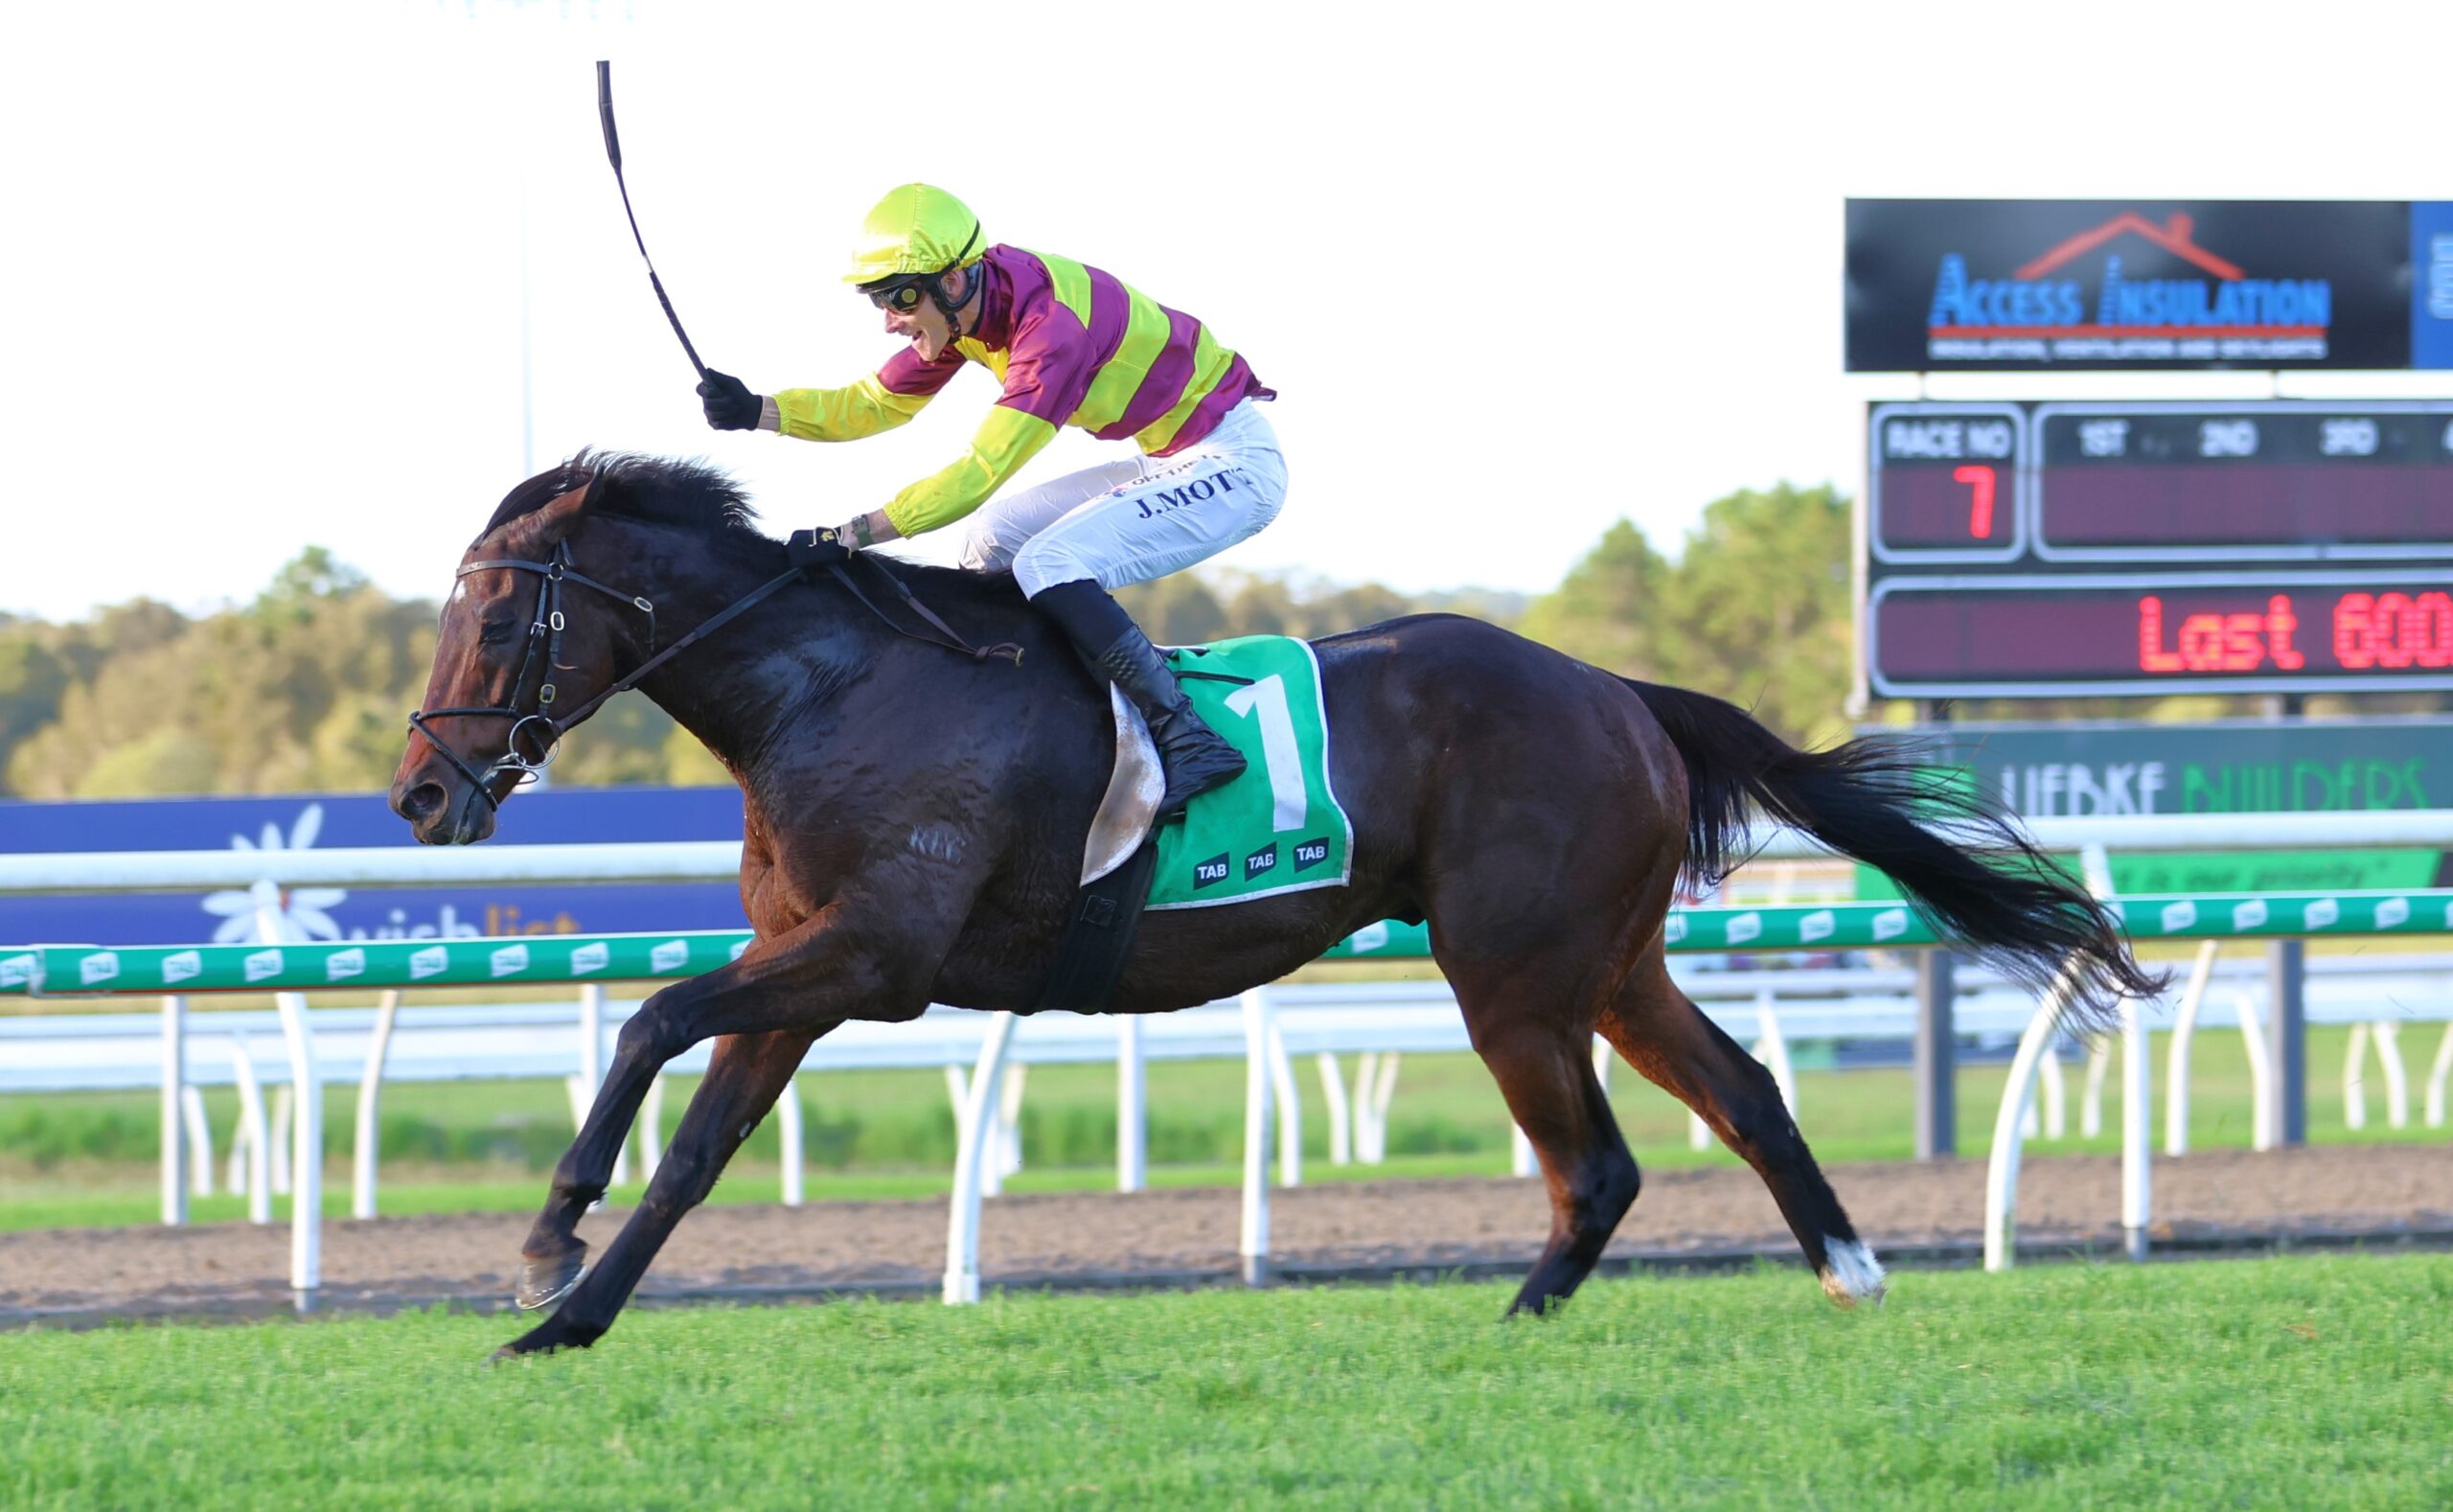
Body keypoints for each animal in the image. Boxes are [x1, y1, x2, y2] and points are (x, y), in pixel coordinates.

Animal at [389, 450, 2159, 1359]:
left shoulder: (874, 954)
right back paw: (1848, 1268)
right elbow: (697, 1139)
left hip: (1508, 968)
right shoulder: (809, 961)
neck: (831, 686)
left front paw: (544, 1233)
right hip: (1609, 957)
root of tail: (1619, 691)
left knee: (1597, 1162)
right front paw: (567, 1313)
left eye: (496, 615)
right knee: (1743, 1092)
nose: (419, 794)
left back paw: (1516, 1316)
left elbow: (652, 1014)